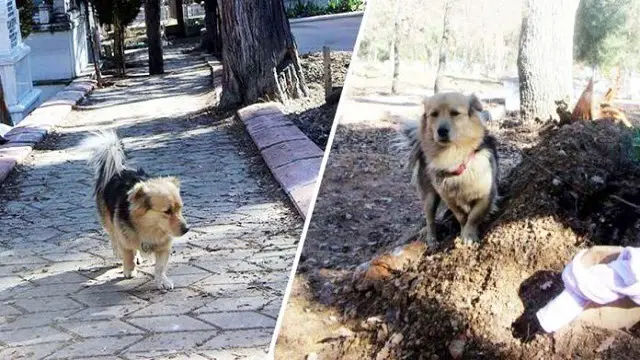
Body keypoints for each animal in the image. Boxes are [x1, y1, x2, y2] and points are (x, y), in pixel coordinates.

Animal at [81, 131, 189, 292]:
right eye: (167, 211)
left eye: (180, 209)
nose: (187, 229)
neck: (148, 227)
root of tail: (118, 170)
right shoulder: (124, 238)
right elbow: (127, 255)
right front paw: (129, 270)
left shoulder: (164, 246)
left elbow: (160, 266)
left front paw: (162, 280)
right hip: (108, 220)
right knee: (113, 236)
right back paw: (119, 251)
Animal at [400, 91, 500, 246]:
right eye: (434, 114)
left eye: (455, 113)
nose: (442, 131)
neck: (452, 155)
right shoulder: (449, 198)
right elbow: (461, 216)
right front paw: (464, 231)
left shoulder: (486, 195)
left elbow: (474, 216)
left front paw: (469, 234)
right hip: (429, 196)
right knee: (429, 218)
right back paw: (431, 238)